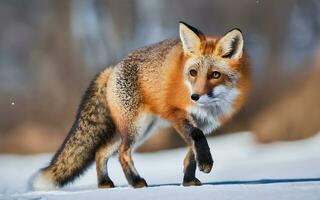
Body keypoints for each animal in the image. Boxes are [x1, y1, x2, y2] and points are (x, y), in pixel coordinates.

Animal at [30, 21, 250, 189]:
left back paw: (104, 183)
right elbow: (196, 138)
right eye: (193, 73)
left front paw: (188, 181)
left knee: (101, 152)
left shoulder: (204, 124)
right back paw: (135, 182)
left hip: (135, 130)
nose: (195, 96)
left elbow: (191, 153)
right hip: (135, 128)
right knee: (122, 153)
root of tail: (113, 68)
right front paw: (205, 163)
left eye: (215, 75)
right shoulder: (178, 116)